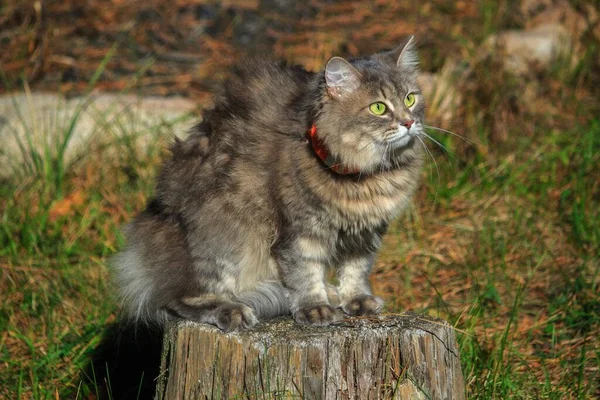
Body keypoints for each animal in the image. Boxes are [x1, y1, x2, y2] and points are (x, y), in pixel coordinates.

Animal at [111, 35, 422, 332]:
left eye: (410, 100)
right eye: (378, 107)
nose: (408, 123)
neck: (368, 176)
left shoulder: (366, 232)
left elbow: (356, 270)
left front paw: (357, 301)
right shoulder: (299, 231)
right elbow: (305, 273)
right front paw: (315, 309)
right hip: (220, 234)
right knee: (180, 298)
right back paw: (233, 311)